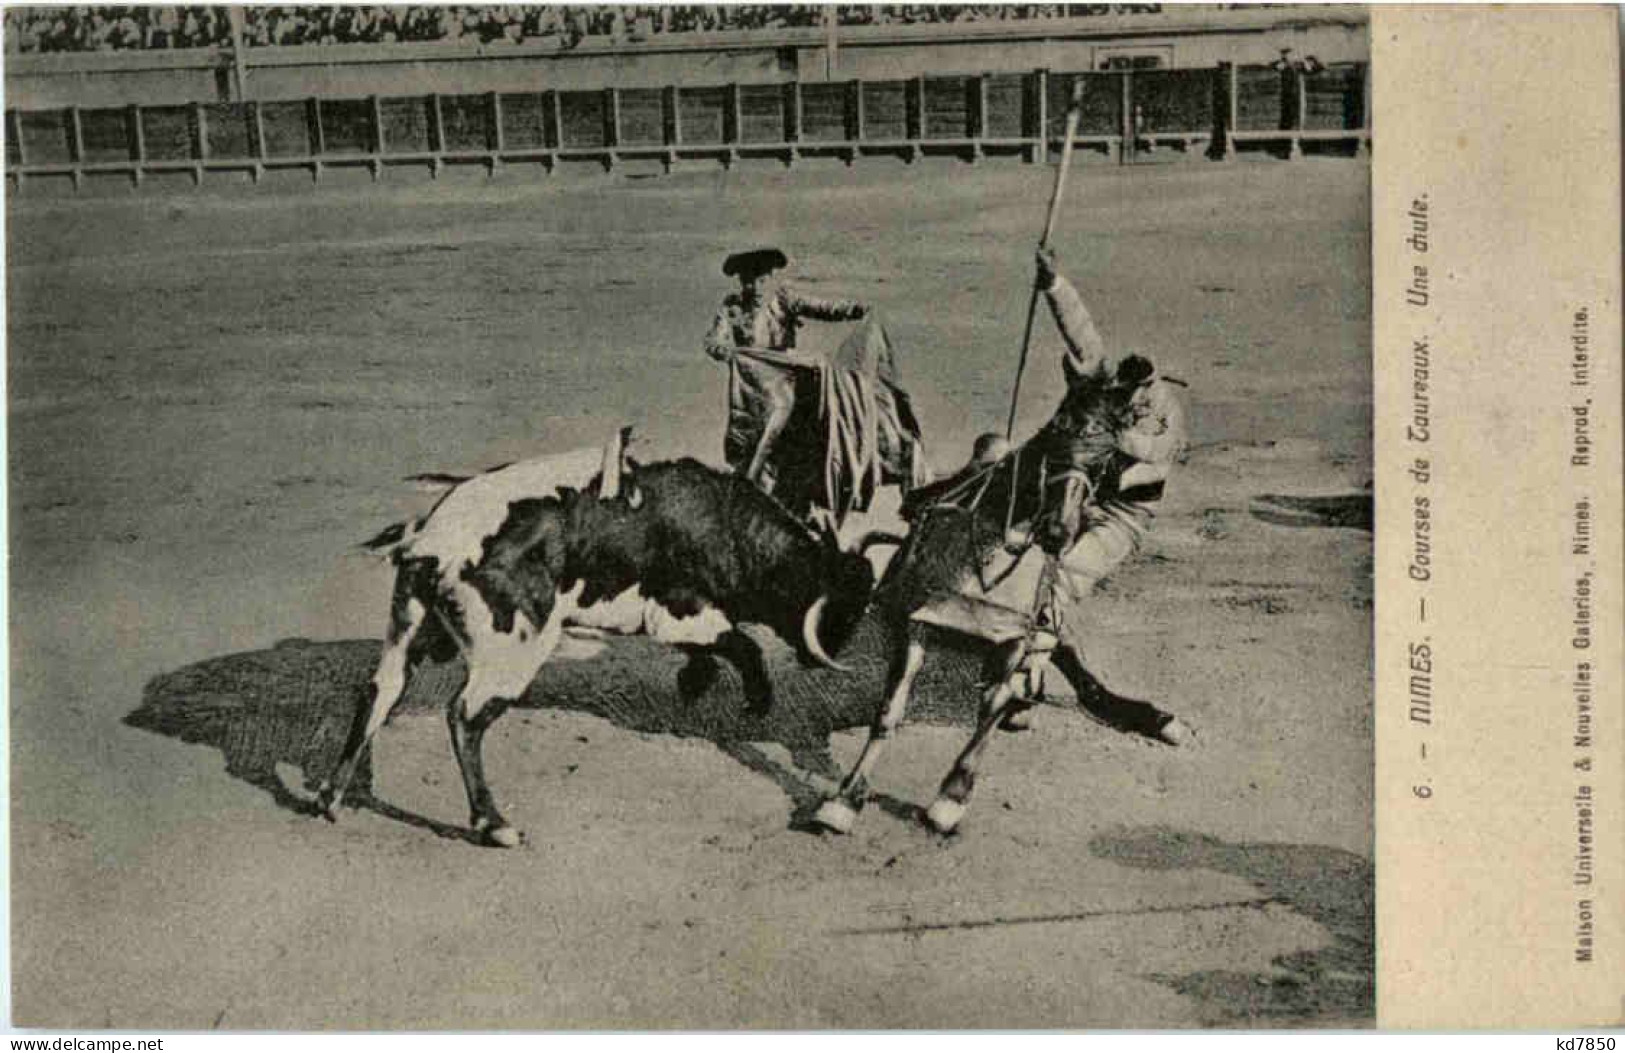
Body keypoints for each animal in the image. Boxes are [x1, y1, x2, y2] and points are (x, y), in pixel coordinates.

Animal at [316, 429, 877, 845]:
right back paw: (494, 824)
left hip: (406, 629)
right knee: (465, 717)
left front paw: (695, 682)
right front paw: (755, 698)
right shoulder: (681, 609)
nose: (824, 656)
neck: (722, 522)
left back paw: (330, 797)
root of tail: (435, 537)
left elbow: (716, 649)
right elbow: (742, 643)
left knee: (378, 692)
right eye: (838, 605)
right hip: (514, 652)